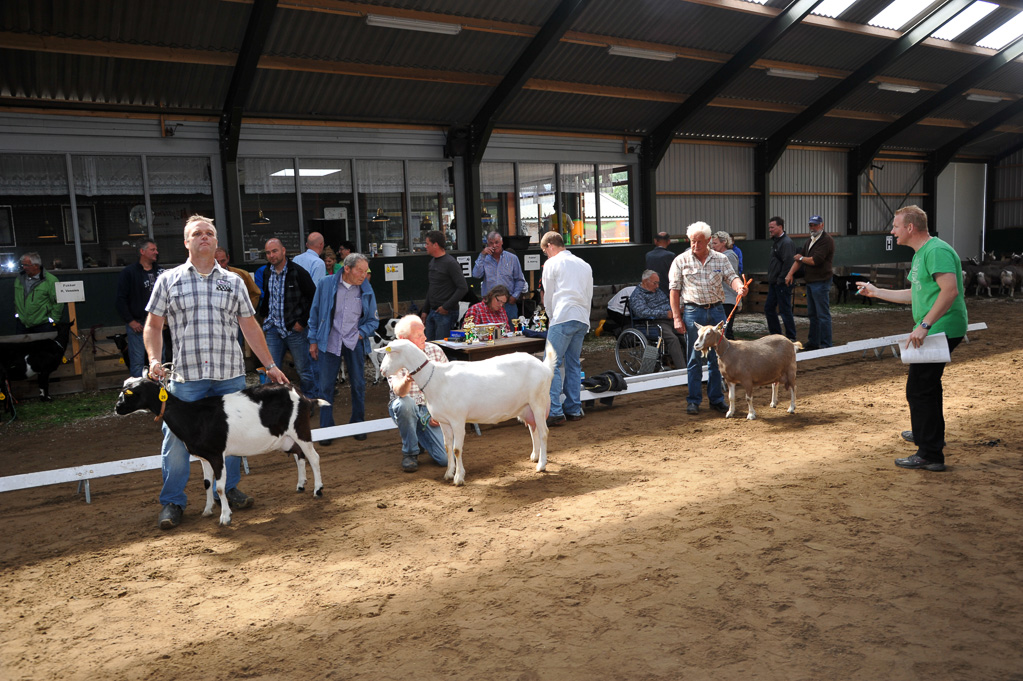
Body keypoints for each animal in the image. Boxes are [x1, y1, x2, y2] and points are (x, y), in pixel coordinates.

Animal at [118, 374, 329, 521]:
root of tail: (303, 395)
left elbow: (219, 488)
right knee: (299, 456)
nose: (116, 408)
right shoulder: (203, 457)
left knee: (313, 457)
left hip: (300, 430)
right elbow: (206, 483)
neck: (192, 416)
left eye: (129, 392)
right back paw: (301, 484)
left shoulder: (217, 455)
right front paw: (207, 510)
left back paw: (318, 490)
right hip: (286, 439)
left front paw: (225, 516)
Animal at [376, 337, 556, 484]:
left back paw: (541, 465)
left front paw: (459, 478)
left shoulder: (457, 420)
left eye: (390, 353)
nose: (382, 371)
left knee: (543, 432)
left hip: (538, 402)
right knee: (533, 429)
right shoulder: (444, 422)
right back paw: (535, 456)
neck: (436, 378)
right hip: (526, 407)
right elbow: (447, 447)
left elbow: (457, 449)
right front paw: (449, 473)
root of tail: (545, 368)